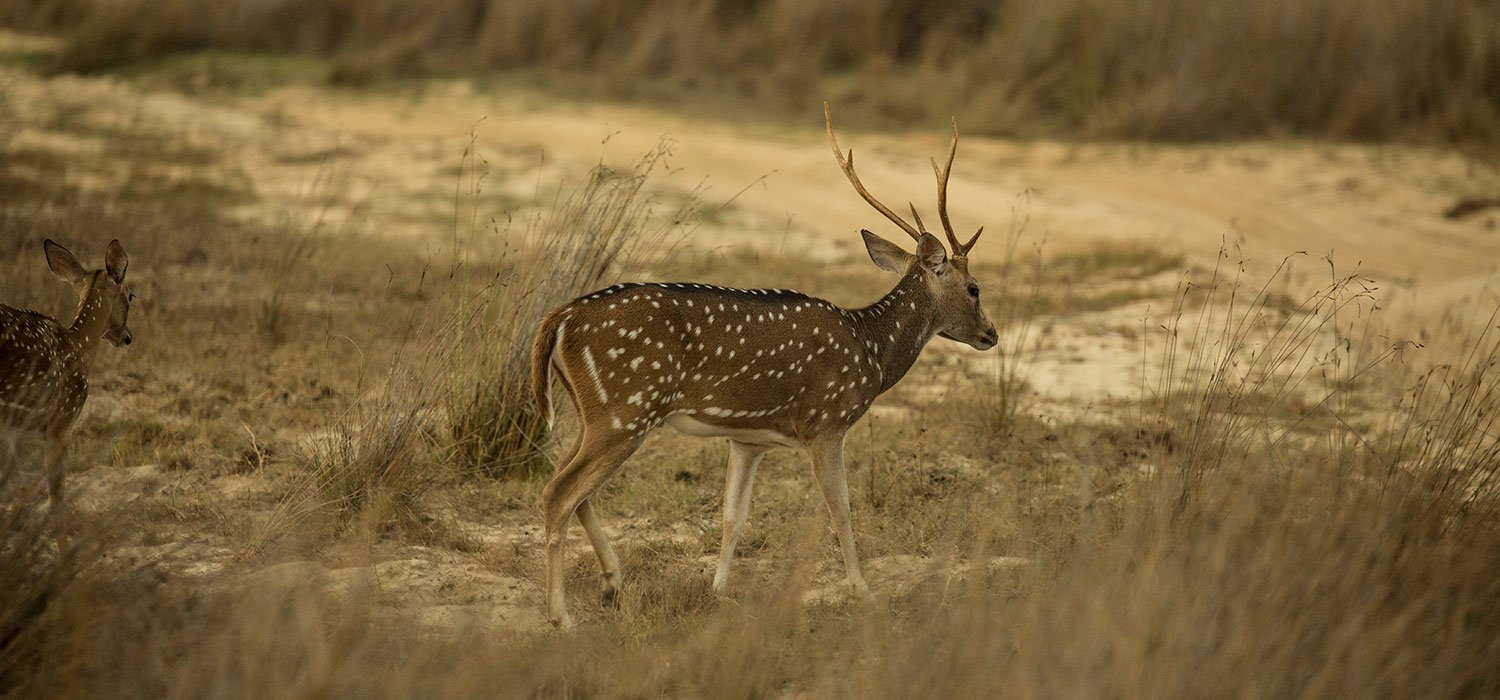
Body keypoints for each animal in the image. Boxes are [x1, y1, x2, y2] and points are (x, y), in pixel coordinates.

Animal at [1, 239, 133, 517]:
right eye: (131, 296)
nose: (127, 337)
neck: (79, 346)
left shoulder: (15, 433)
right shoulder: (62, 421)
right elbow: (57, 494)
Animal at [529, 105, 996, 627]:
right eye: (974, 288)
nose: (991, 335)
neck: (870, 347)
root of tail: (560, 318)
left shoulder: (748, 439)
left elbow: (733, 516)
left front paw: (718, 591)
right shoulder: (825, 422)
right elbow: (841, 509)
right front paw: (864, 592)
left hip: (593, 412)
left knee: (572, 487)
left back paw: (612, 581)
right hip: (626, 408)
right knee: (558, 493)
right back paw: (561, 616)